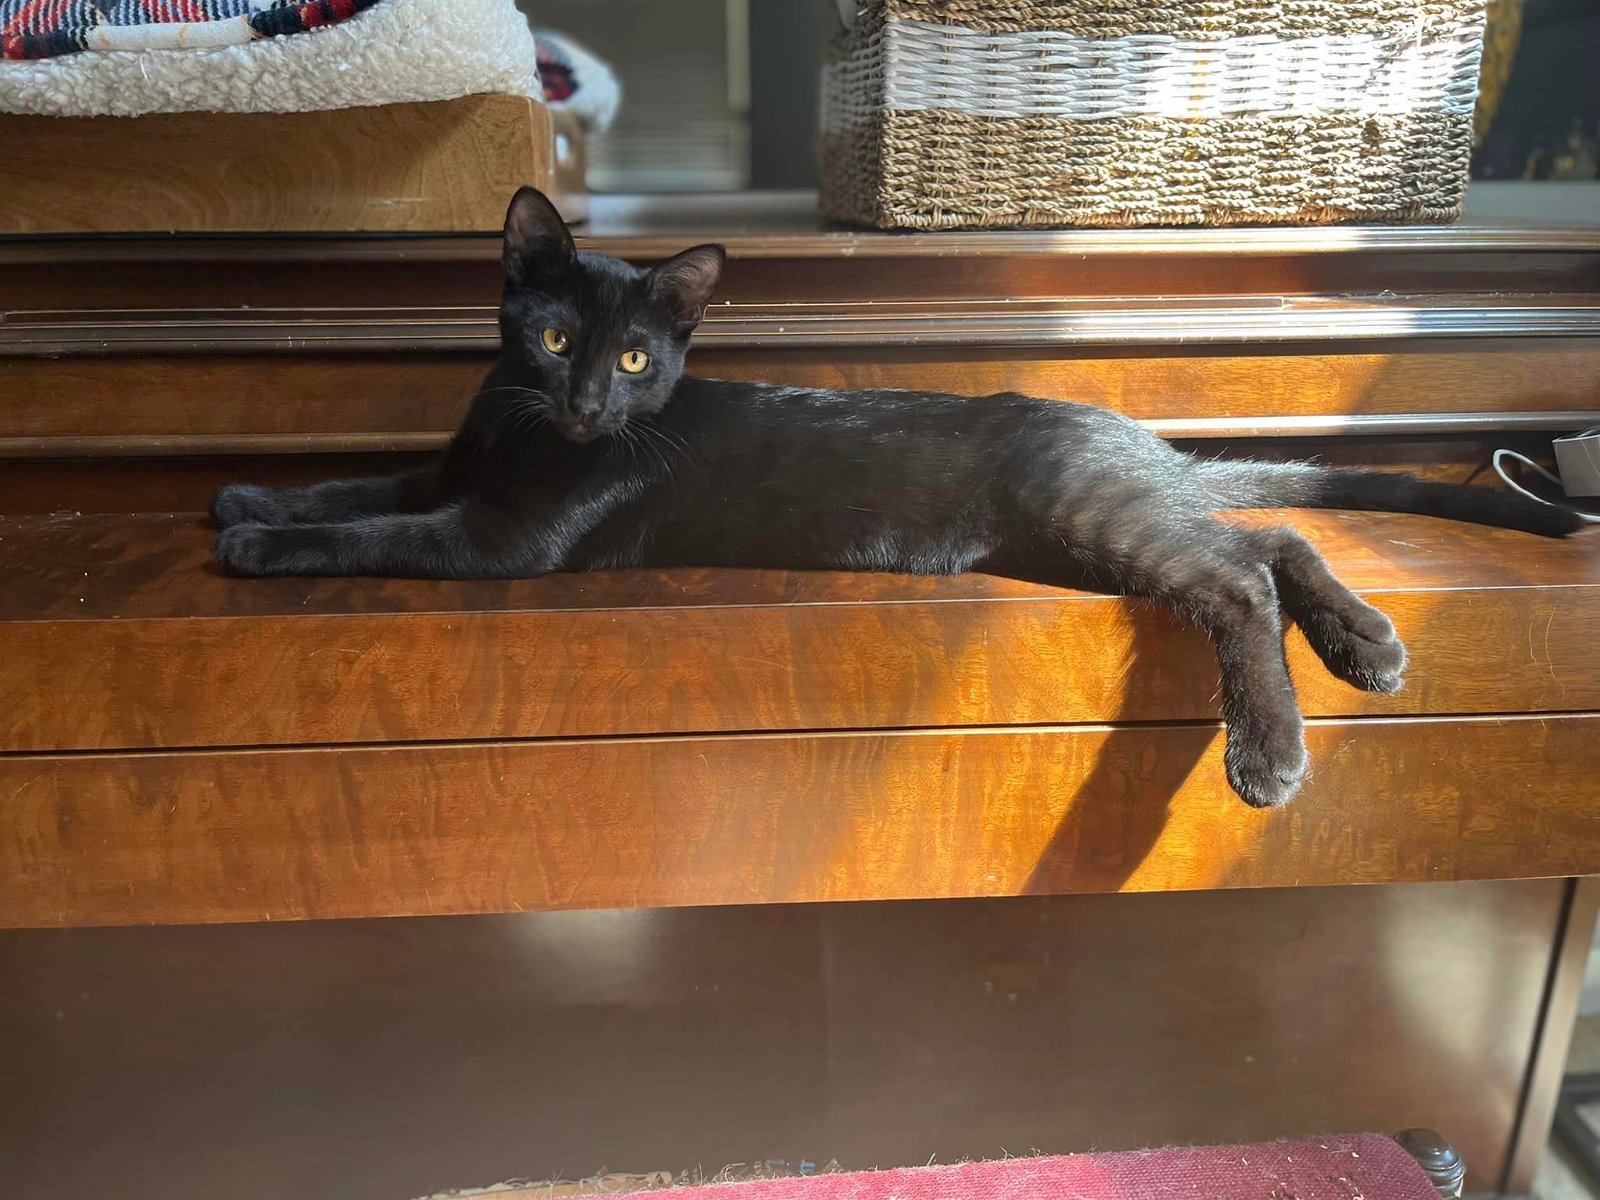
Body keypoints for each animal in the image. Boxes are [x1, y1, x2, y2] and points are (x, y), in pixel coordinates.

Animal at [213, 186, 1586, 809]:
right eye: (551, 339)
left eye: (639, 359)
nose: (594, 403)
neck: (518, 430)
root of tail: (1130, 433)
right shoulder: (451, 474)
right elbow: (353, 484)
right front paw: (244, 496)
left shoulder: (497, 536)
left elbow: (371, 532)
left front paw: (255, 547)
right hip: (1095, 533)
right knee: (1271, 530)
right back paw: (1369, 644)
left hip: (1092, 519)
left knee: (1236, 573)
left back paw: (1273, 751)